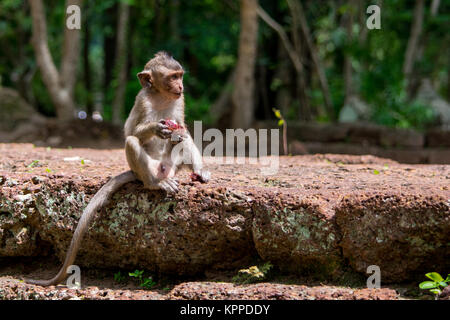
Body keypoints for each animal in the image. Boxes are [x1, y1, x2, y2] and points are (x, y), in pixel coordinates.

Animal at [27, 51, 210, 286]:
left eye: (180, 75)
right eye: (172, 77)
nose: (181, 86)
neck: (161, 96)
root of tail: (163, 171)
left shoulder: (180, 101)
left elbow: (183, 130)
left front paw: (182, 140)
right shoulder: (142, 101)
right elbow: (129, 131)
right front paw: (157, 128)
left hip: (173, 165)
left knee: (183, 139)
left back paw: (197, 169)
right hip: (148, 169)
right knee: (132, 142)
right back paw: (155, 184)